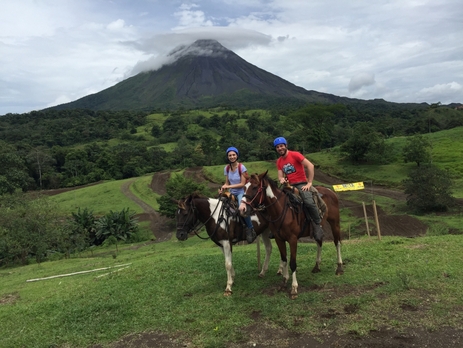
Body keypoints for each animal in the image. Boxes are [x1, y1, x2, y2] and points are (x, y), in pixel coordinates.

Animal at [241, 171, 342, 300]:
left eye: (254, 187)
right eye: (244, 187)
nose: (242, 208)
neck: (281, 210)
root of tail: (329, 191)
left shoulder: (293, 239)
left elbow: (293, 263)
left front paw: (294, 288)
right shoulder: (279, 239)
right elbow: (284, 260)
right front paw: (284, 282)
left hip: (335, 223)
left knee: (337, 242)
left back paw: (339, 268)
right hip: (318, 229)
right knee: (319, 242)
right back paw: (317, 266)